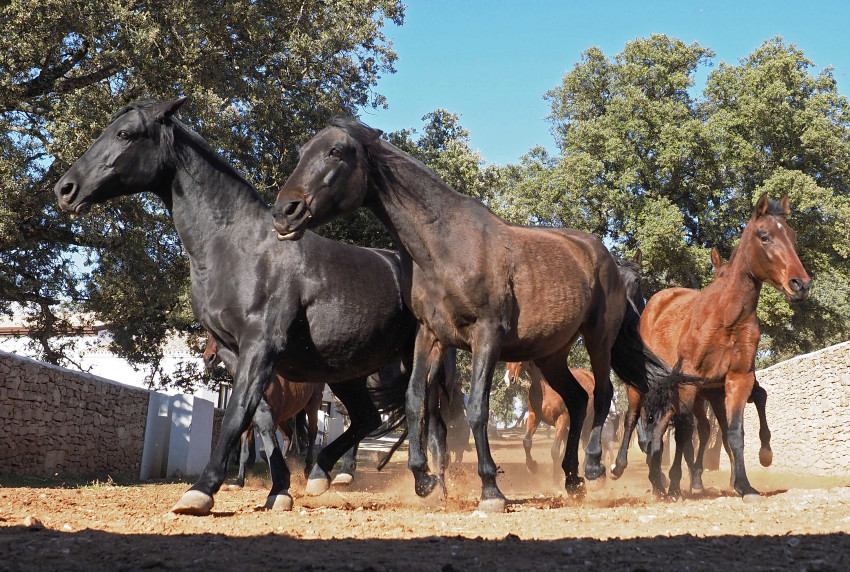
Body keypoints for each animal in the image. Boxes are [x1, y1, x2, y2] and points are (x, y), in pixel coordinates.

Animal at [53, 100, 460, 516]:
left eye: (124, 134)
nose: (65, 189)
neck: (236, 246)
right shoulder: (232, 351)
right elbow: (260, 416)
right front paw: (279, 491)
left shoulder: (260, 346)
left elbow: (237, 414)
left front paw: (201, 491)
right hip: (348, 372)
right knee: (368, 418)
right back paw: (323, 474)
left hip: (417, 359)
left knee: (429, 420)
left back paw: (434, 487)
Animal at [272, 116, 688, 510]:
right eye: (302, 151)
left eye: (337, 152)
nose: (284, 212)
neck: (445, 246)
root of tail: (605, 258)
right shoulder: (430, 336)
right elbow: (415, 401)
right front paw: (424, 481)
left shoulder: (487, 335)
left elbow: (477, 409)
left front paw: (490, 489)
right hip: (551, 354)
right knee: (576, 399)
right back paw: (571, 479)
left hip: (598, 338)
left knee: (601, 396)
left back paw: (596, 467)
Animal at [624, 196, 808, 500]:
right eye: (765, 236)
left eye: (792, 236)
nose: (800, 284)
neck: (726, 318)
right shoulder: (689, 381)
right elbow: (684, 430)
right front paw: (675, 483)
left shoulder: (737, 378)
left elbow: (733, 431)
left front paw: (745, 484)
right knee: (650, 423)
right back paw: (648, 476)